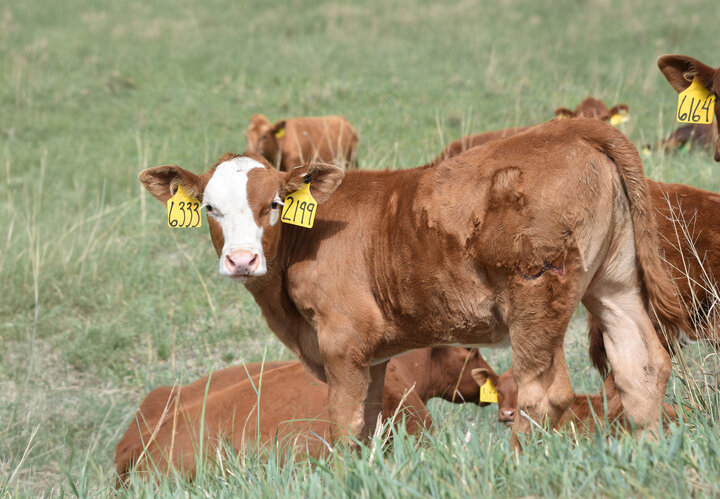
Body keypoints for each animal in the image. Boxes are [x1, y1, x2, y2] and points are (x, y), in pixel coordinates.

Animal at [139, 117, 685, 449]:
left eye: (273, 204)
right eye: (210, 207)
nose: (242, 259)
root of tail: (570, 128)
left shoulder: (341, 343)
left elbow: (343, 426)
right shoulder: (374, 355)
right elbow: (370, 426)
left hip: (536, 295)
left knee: (542, 394)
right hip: (613, 283)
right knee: (640, 367)